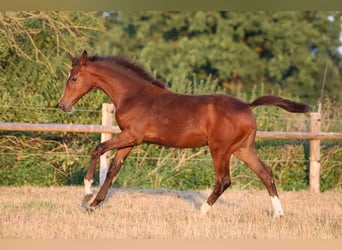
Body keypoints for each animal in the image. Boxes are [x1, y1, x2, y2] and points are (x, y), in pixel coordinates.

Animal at [57, 50, 308, 217]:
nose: (63, 105)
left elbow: (98, 149)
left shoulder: (132, 136)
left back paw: (201, 211)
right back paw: (278, 214)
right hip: (243, 150)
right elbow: (112, 171)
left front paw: (87, 192)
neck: (133, 95)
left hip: (220, 149)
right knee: (266, 173)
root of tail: (248, 106)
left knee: (224, 180)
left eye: (74, 78)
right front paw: (93, 205)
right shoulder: (129, 141)